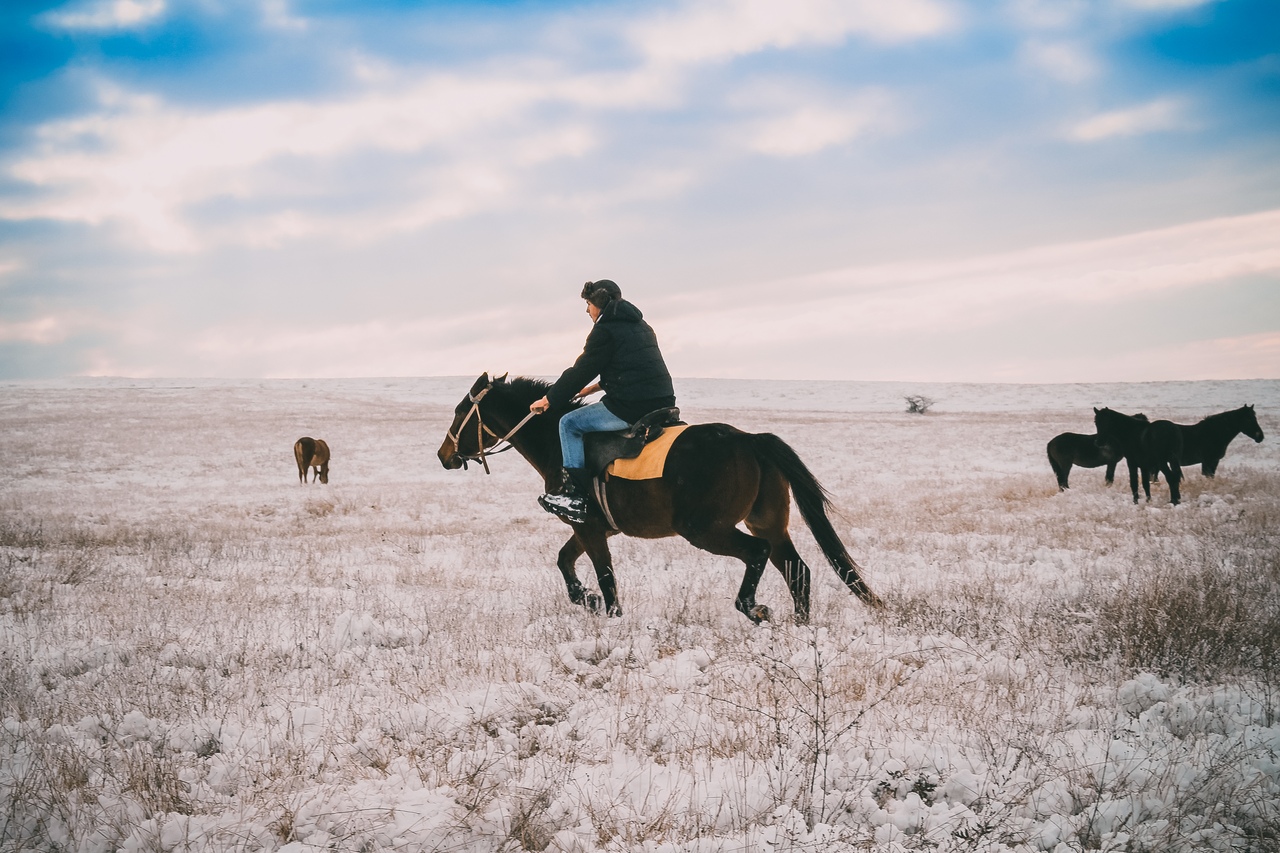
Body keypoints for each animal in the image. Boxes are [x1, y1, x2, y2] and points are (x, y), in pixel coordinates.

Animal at [437, 368, 880, 622]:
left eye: (460, 412)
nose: (444, 456)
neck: (555, 442)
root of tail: (751, 440)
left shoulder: (590, 528)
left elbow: (606, 577)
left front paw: (607, 613)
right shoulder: (592, 529)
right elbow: (565, 562)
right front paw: (587, 601)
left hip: (706, 530)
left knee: (759, 555)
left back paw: (754, 608)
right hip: (768, 522)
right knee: (797, 570)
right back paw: (801, 627)